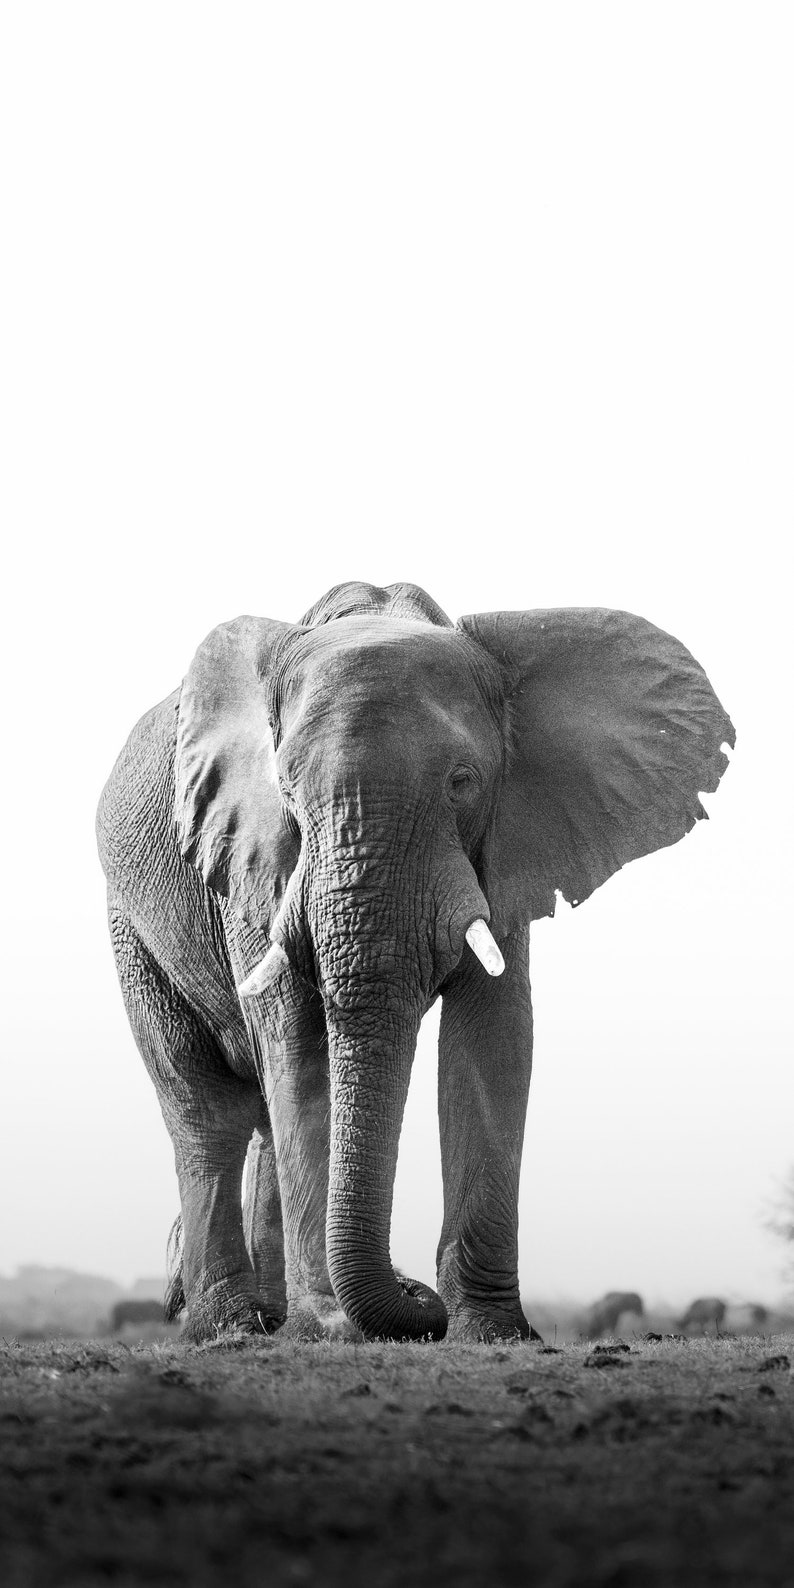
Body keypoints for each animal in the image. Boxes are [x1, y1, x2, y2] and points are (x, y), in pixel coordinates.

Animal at [97, 580, 733, 1344]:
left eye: (463, 782)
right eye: (286, 790)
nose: (416, 1295)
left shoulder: (510, 844)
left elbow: (493, 1034)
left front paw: (490, 1332)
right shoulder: (252, 859)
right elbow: (298, 1039)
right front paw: (339, 1325)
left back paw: (274, 1322)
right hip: (130, 926)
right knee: (204, 1107)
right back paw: (235, 1328)